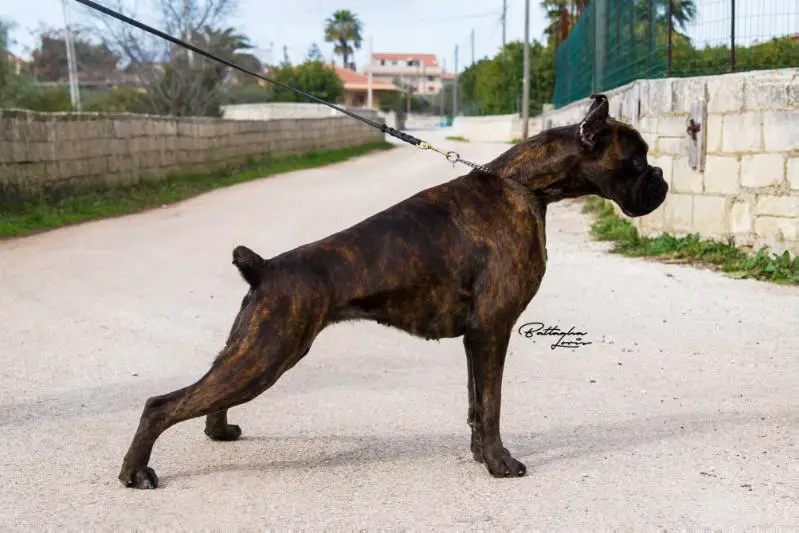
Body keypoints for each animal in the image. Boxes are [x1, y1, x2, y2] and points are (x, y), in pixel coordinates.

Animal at [119, 94, 668, 486]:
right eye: (638, 159)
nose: (662, 176)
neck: (524, 184)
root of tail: (265, 268)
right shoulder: (493, 331)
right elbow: (491, 405)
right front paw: (500, 464)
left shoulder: (476, 338)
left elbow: (476, 405)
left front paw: (480, 456)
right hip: (269, 353)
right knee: (161, 405)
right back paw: (135, 472)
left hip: (251, 348)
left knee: (205, 394)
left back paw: (219, 432)